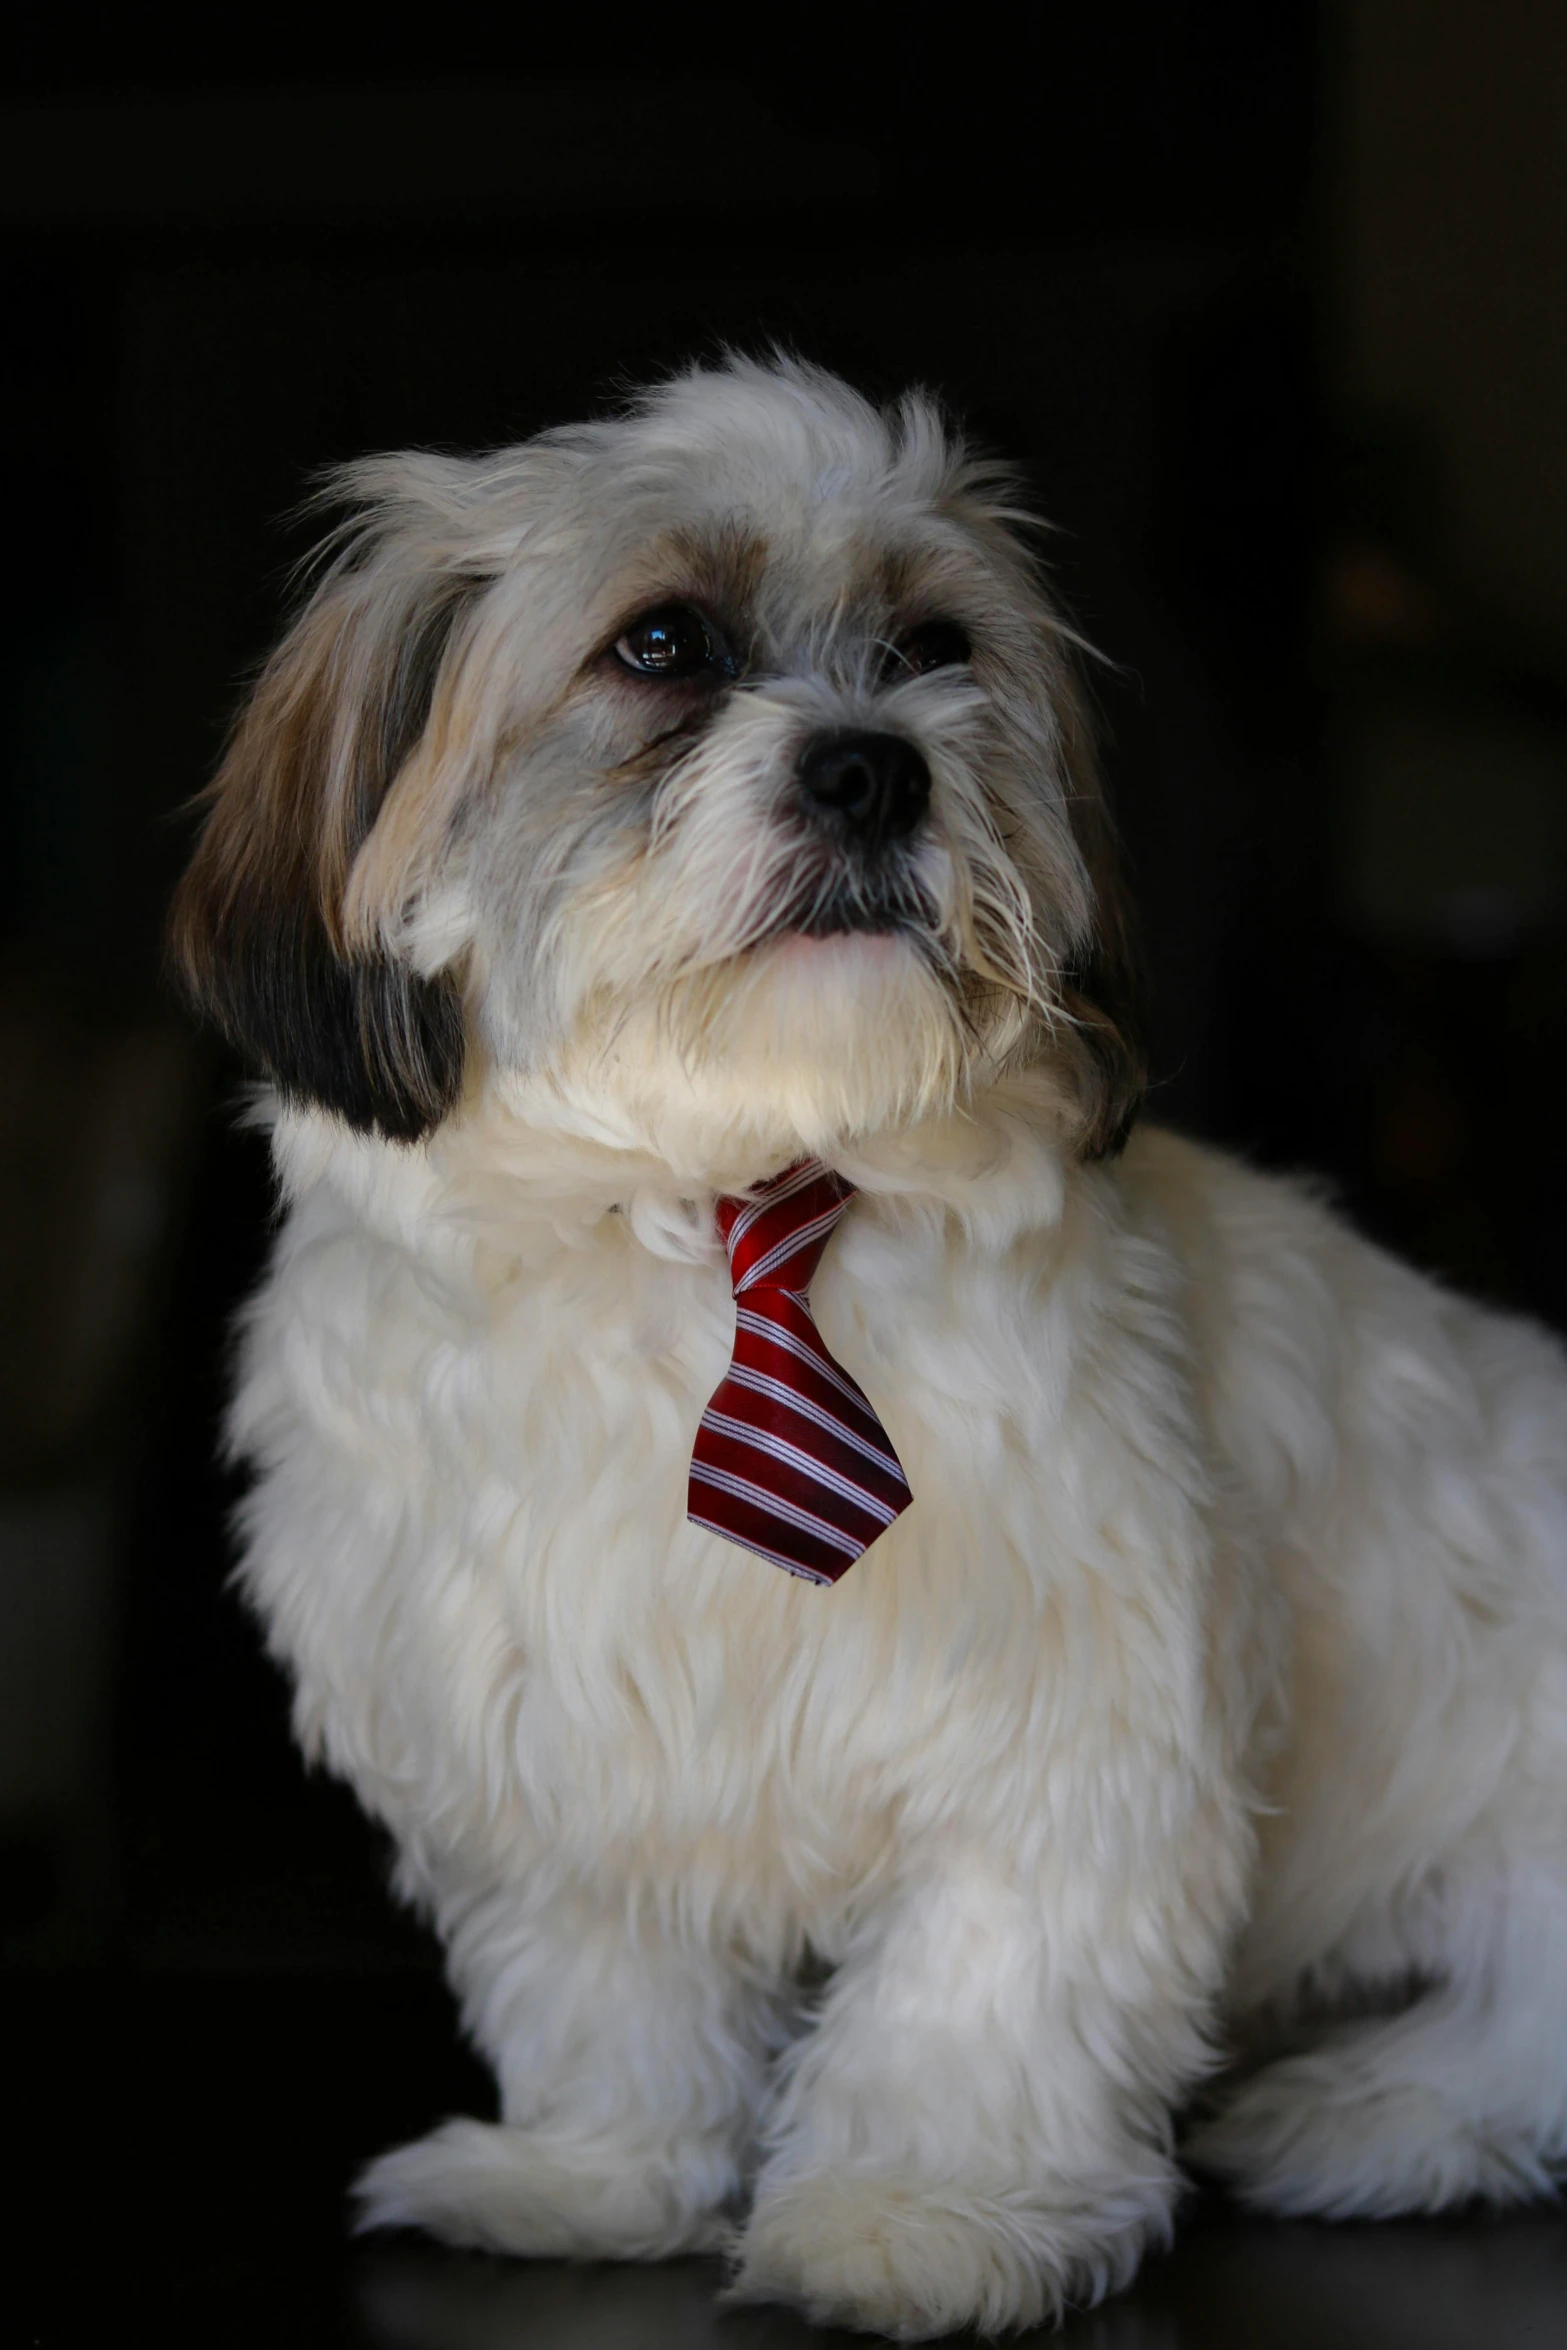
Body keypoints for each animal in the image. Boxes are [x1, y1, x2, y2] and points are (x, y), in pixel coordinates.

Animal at [171, 357, 1567, 2340]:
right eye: (661, 644)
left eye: (929, 648)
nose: (870, 759)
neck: (735, 1195)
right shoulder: (546, 1713)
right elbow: (606, 1982)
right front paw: (593, 2174)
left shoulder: (1065, 1720)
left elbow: (978, 1999)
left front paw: (922, 2214)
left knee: (1516, 2038)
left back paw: (1373, 2115)